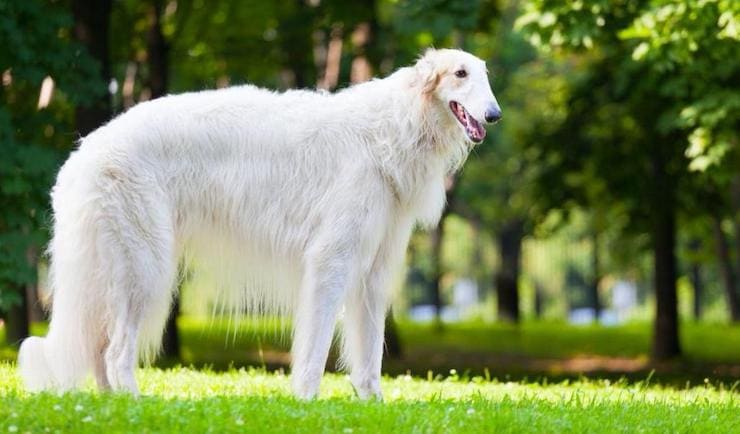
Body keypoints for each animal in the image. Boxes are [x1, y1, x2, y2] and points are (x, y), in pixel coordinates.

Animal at [17, 48, 500, 400]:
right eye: (460, 73)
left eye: (484, 74)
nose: (494, 115)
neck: (393, 127)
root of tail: (83, 154)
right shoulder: (331, 260)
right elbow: (315, 348)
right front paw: (305, 403)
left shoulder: (373, 272)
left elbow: (368, 361)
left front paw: (374, 409)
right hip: (145, 268)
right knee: (116, 352)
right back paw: (136, 404)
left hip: (114, 271)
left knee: (99, 349)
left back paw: (109, 406)